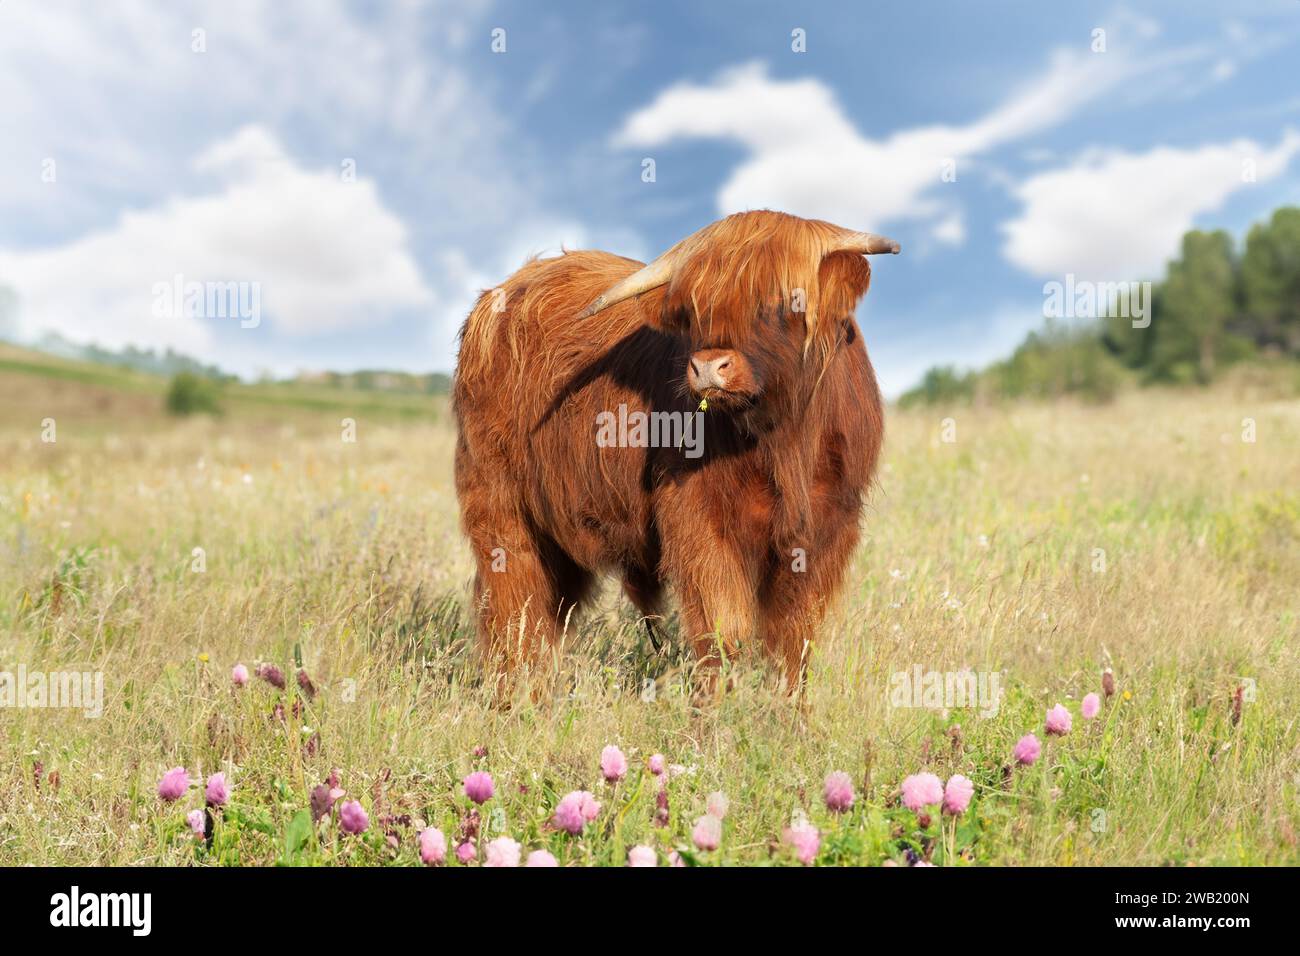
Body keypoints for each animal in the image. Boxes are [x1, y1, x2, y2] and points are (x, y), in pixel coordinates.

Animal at [452, 210, 898, 688]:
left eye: (783, 303)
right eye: (697, 310)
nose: (708, 367)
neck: (784, 442)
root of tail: (500, 294)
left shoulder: (828, 527)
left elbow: (794, 638)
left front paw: (789, 706)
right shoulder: (698, 519)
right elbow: (721, 629)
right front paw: (718, 706)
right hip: (498, 505)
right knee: (514, 609)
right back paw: (516, 695)